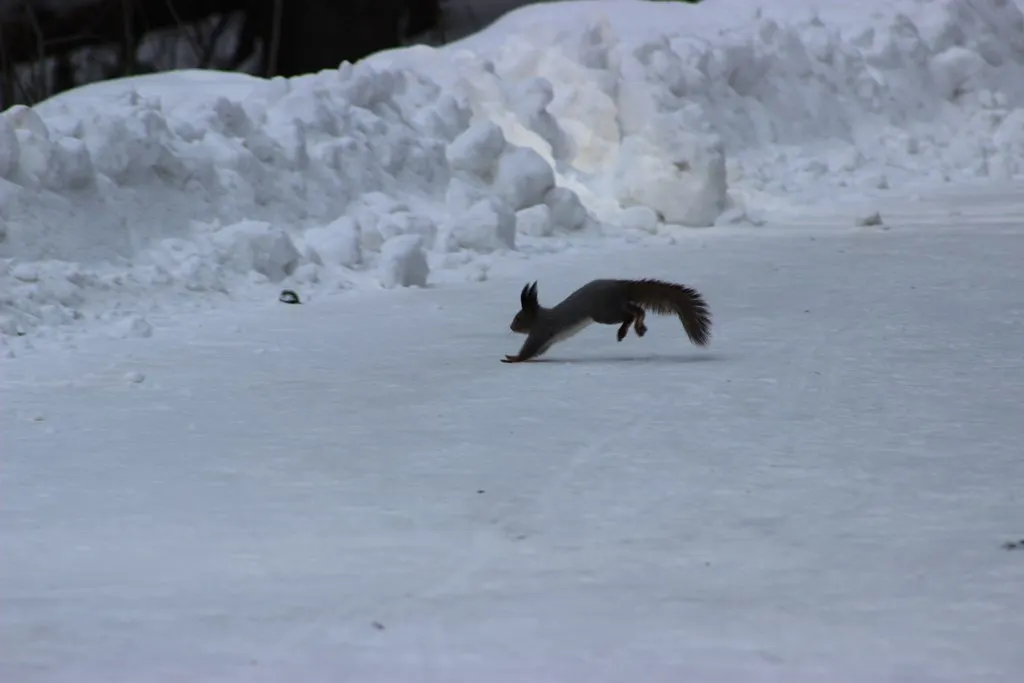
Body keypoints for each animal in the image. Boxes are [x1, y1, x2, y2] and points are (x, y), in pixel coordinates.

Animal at [501, 278, 712, 363]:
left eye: (518, 318)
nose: (511, 326)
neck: (541, 316)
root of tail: (620, 286)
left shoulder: (541, 331)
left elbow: (529, 350)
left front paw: (512, 358)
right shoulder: (546, 340)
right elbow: (538, 351)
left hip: (604, 313)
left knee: (631, 313)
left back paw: (626, 330)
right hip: (614, 307)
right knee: (637, 309)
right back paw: (637, 328)